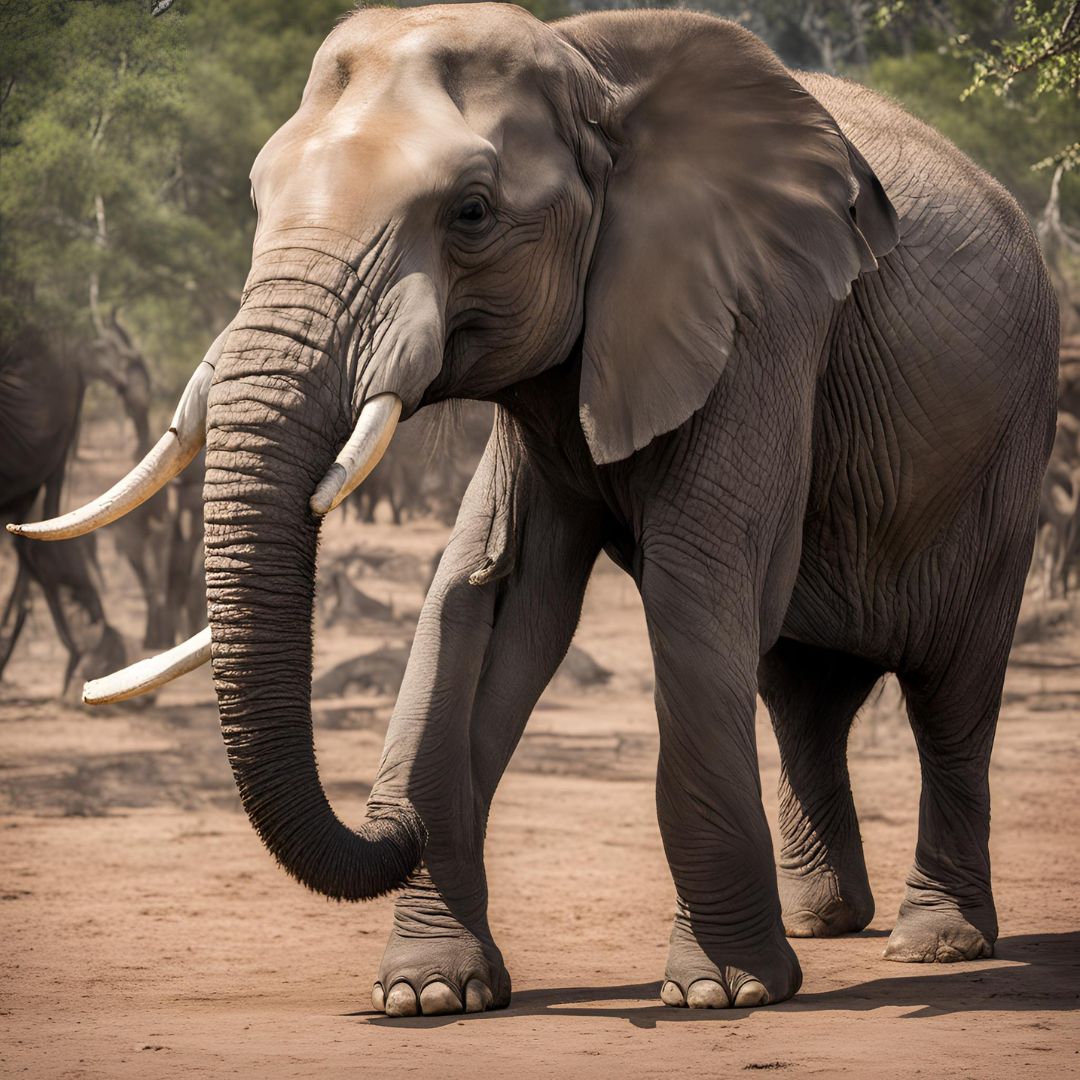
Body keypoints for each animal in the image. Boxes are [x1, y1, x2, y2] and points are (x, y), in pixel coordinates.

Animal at [13, 6, 1058, 1015]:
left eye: (471, 212)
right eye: (259, 203)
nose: (394, 818)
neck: (585, 64)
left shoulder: (759, 318)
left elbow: (696, 582)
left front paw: (723, 991)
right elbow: (480, 596)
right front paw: (430, 992)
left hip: (1010, 455)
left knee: (952, 691)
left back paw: (937, 942)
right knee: (802, 695)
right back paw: (822, 922)